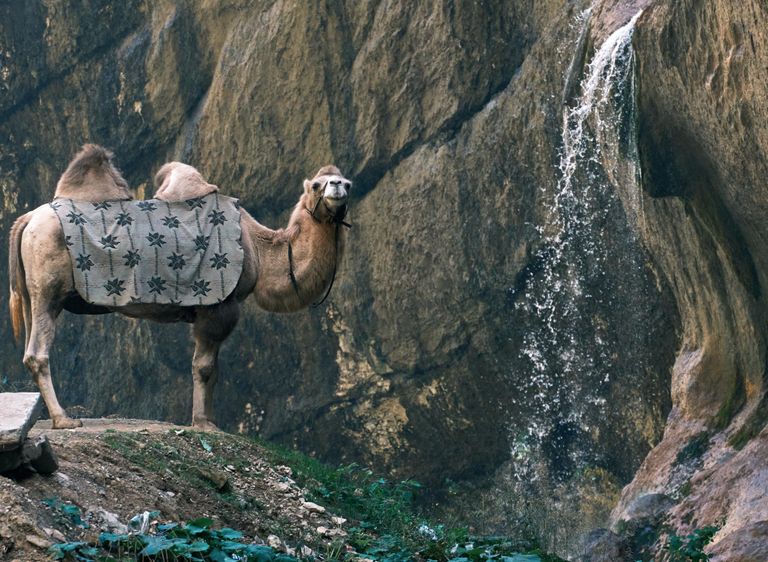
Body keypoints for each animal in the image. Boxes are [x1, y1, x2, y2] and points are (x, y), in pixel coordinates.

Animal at [9, 144, 351, 430]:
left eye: (347, 183)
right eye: (318, 184)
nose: (337, 187)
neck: (257, 246)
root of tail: (26, 219)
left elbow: (213, 368)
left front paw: (208, 420)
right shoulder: (219, 305)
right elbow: (205, 366)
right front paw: (203, 423)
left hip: (31, 291)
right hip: (49, 288)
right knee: (37, 352)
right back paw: (64, 420)